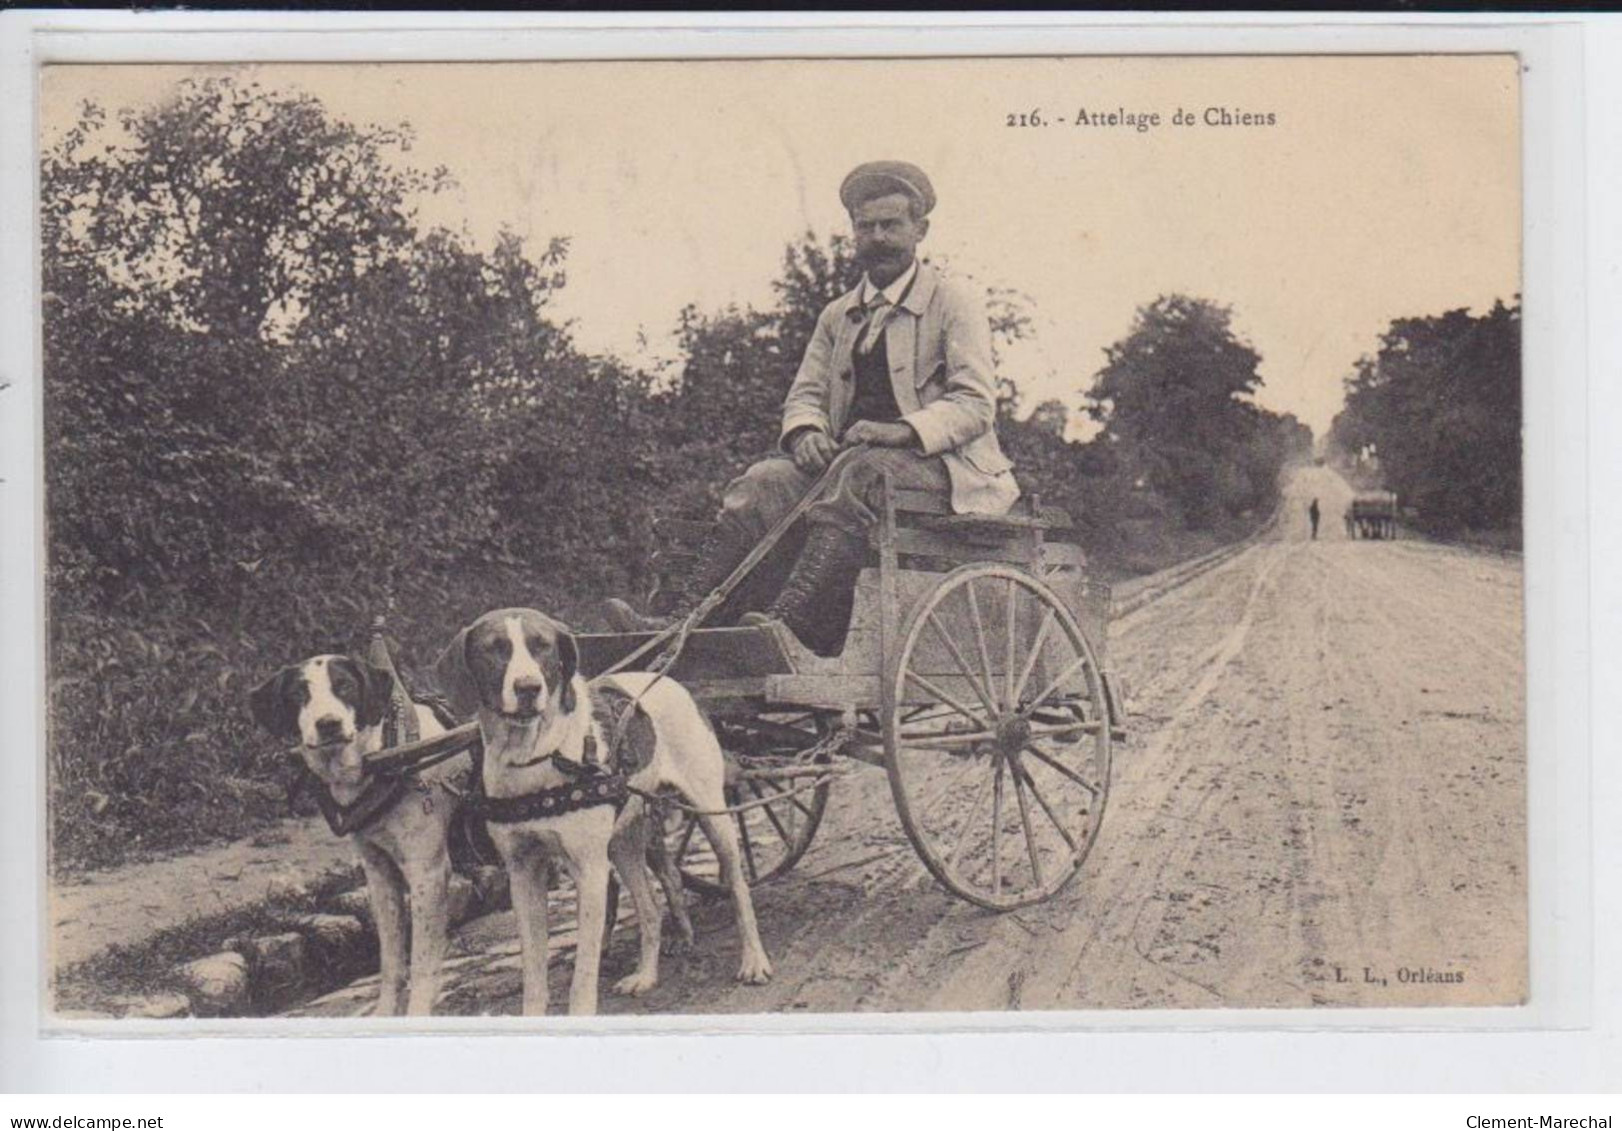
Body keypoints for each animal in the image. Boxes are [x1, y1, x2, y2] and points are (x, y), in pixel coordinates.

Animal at [248, 652, 463, 1012]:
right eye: (298, 694)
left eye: (345, 686)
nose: (329, 724)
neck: (383, 759)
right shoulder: (379, 874)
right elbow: (391, 959)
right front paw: (385, 1011)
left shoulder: (427, 873)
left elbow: (421, 961)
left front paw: (417, 1010)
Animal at [437, 610, 772, 1012]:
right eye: (495, 648)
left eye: (542, 646)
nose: (529, 688)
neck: (535, 759)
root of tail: (674, 682)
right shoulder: (522, 873)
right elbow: (534, 972)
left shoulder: (589, 869)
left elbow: (583, 971)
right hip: (624, 842)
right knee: (651, 908)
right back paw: (646, 975)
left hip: (711, 814)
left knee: (738, 888)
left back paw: (754, 960)